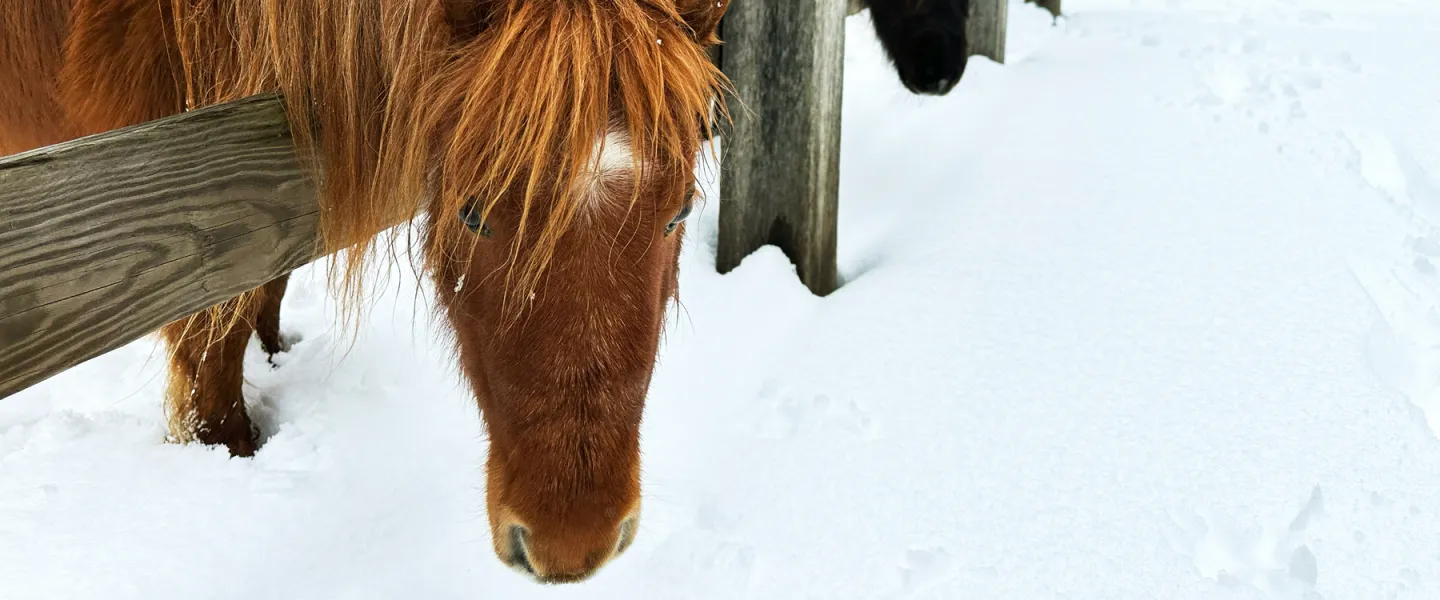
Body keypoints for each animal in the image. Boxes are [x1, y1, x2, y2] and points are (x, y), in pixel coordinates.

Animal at [0, 0, 730, 584]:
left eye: (680, 213)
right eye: (471, 213)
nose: (572, 543)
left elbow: (268, 284)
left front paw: (275, 355)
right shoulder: (194, 221)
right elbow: (215, 353)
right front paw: (228, 453)